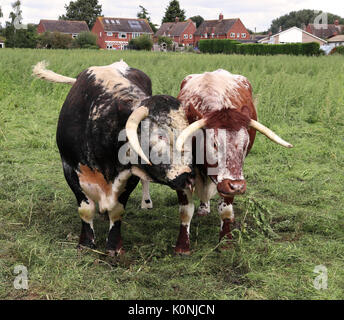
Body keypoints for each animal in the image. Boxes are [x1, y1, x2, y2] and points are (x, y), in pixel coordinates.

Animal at [33, 59, 195, 255]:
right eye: (160, 135)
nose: (187, 177)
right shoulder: (69, 168)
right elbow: (85, 209)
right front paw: (86, 243)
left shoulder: (129, 175)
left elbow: (117, 211)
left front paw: (113, 247)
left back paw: (146, 202)